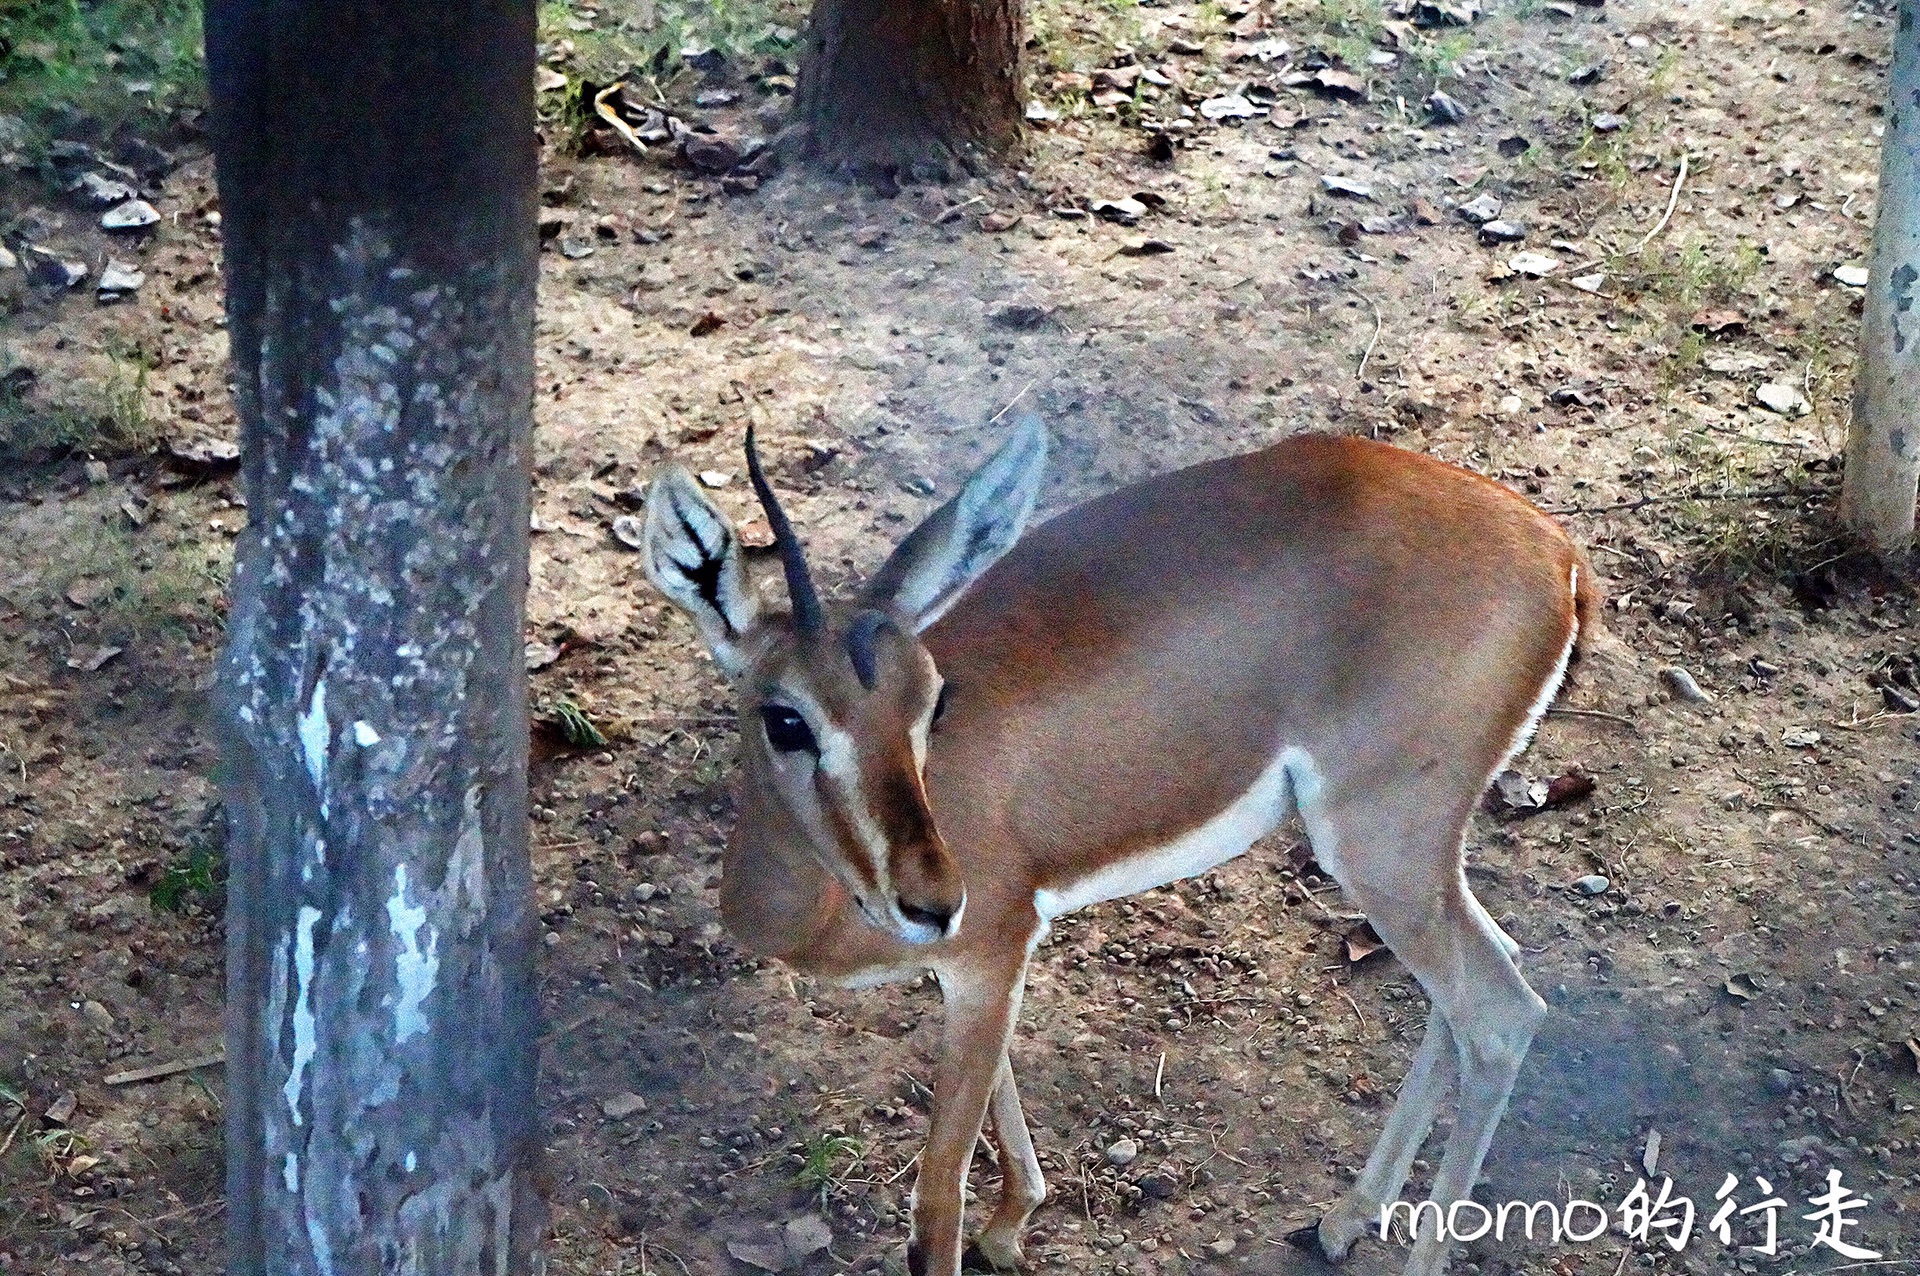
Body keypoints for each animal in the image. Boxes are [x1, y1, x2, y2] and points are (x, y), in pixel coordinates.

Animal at [637, 418, 1597, 1274]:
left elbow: (935, 1200)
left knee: (1501, 1015)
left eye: (931, 701)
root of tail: (1558, 553)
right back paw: (1342, 1220)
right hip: (1418, 856)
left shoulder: (990, 944)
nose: (933, 896)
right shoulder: (980, 962)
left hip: (1380, 845)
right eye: (785, 718)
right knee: (1482, 979)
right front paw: (1013, 1224)